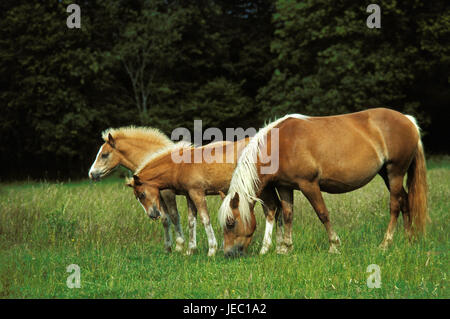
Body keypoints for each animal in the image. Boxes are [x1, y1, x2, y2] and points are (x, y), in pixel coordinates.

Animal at [88, 126, 185, 254]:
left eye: (104, 154)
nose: (91, 174)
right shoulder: (157, 196)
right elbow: (165, 219)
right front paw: (168, 248)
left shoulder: (168, 193)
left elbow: (174, 216)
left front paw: (180, 246)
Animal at [126, 140, 286, 258]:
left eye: (142, 194)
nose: (153, 215)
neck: (181, 165)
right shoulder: (189, 195)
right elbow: (191, 221)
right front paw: (190, 250)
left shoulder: (197, 193)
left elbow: (205, 219)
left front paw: (212, 250)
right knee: (278, 209)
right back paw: (279, 246)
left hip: (261, 188)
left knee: (271, 210)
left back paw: (266, 248)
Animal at [220, 109, 430, 258]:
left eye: (230, 223)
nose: (228, 253)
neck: (281, 145)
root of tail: (407, 119)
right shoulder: (285, 187)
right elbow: (288, 215)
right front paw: (286, 248)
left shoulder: (309, 185)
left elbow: (322, 213)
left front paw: (334, 245)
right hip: (386, 174)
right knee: (405, 201)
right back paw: (409, 240)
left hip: (395, 173)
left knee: (395, 205)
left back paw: (385, 244)